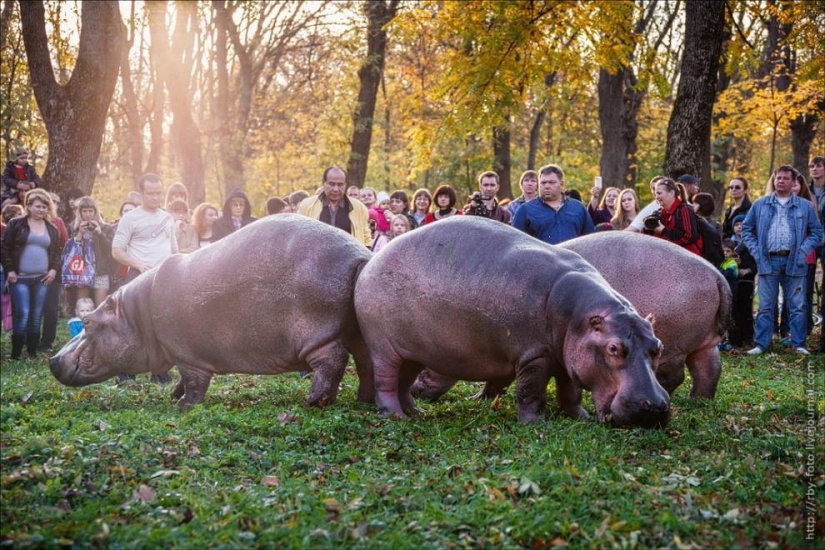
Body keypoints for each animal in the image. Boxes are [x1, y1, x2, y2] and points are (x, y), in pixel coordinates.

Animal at [49, 216, 374, 410]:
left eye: (87, 322)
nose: (52, 360)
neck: (136, 316)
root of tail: (362, 256)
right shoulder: (179, 353)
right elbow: (182, 380)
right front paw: (174, 394)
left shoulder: (188, 356)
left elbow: (195, 383)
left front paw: (182, 406)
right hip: (358, 333)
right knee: (367, 362)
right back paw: (364, 400)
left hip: (318, 335)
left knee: (332, 362)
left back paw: (314, 402)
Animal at [354, 218, 668, 430]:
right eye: (614, 348)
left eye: (658, 346)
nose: (654, 406)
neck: (579, 315)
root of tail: (371, 262)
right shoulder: (535, 355)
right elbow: (530, 392)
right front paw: (535, 424)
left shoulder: (567, 357)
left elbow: (571, 392)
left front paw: (581, 417)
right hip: (383, 347)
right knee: (386, 381)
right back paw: (395, 416)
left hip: (414, 352)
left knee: (404, 382)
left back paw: (416, 412)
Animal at [416, 231, 732, 404]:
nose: (416, 389)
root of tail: (717, 275)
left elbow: (497, 380)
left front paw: (478, 398)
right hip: (703, 342)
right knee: (709, 370)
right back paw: (697, 400)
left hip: (675, 345)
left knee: (676, 375)